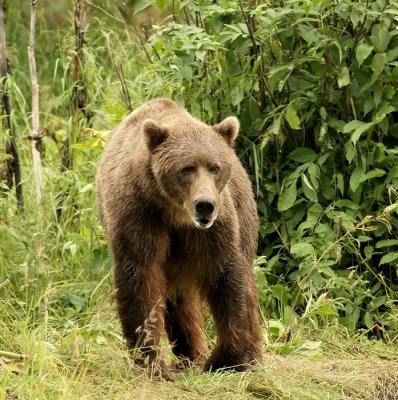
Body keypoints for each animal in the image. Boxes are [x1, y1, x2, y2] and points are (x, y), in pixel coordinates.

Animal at [96, 97, 262, 378]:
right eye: (187, 169)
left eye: (215, 167)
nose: (205, 205)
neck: (177, 214)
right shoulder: (140, 216)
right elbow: (140, 278)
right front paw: (151, 360)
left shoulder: (218, 229)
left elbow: (228, 278)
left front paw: (225, 358)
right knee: (178, 300)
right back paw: (189, 355)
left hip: (244, 214)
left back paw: (252, 356)